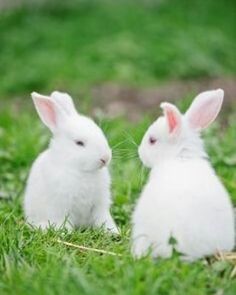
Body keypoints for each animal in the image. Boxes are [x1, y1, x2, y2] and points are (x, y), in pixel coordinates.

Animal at [24, 90, 118, 234]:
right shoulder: (61, 207)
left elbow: (103, 218)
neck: (81, 171)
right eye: (79, 143)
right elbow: (63, 221)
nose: (105, 158)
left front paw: (112, 232)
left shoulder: (100, 205)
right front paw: (64, 232)